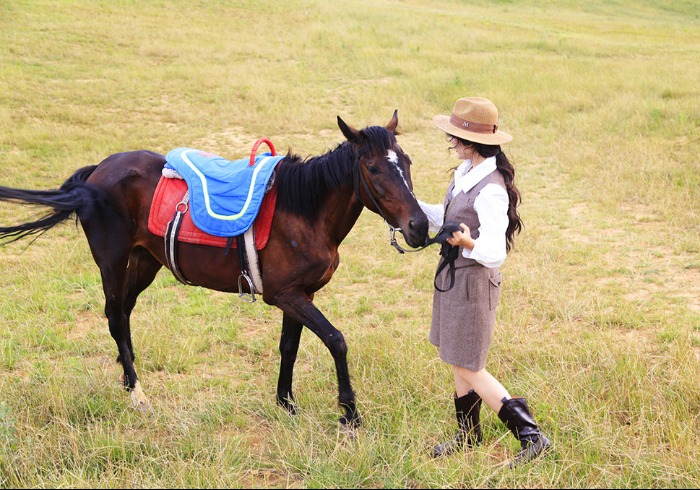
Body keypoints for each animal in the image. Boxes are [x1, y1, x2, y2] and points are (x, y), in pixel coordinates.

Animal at [0, 112, 429, 430]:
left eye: (407, 163)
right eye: (373, 168)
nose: (420, 227)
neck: (304, 211)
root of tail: (98, 171)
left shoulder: (300, 294)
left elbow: (290, 347)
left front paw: (285, 403)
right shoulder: (286, 295)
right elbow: (336, 340)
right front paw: (349, 412)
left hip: (144, 261)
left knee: (122, 313)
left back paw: (126, 377)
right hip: (112, 260)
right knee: (115, 318)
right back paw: (137, 393)